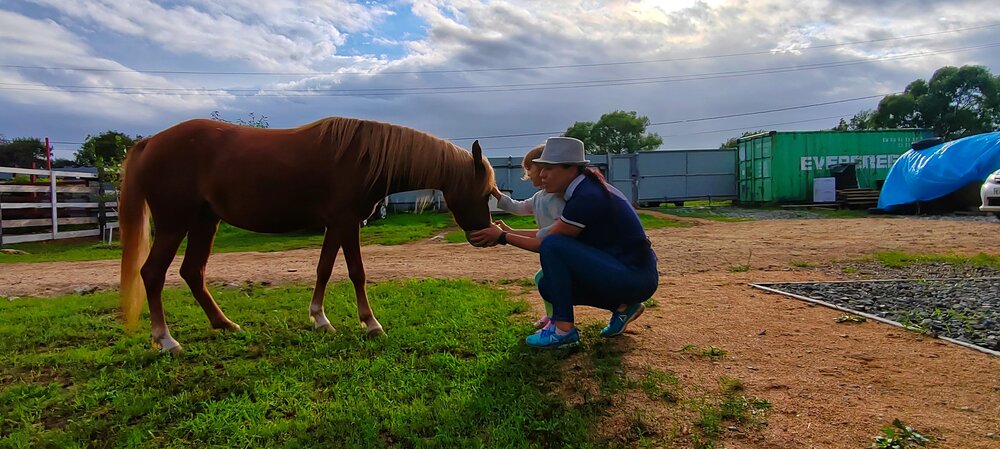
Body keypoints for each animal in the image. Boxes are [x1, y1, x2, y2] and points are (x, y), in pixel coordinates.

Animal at [118, 117, 496, 353]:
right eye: (485, 191)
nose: (482, 234)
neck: (364, 156)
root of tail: (150, 142)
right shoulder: (346, 222)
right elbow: (357, 273)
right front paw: (370, 323)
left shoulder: (336, 224)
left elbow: (324, 270)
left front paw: (320, 319)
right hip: (173, 224)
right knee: (153, 274)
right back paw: (166, 341)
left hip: (204, 222)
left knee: (192, 272)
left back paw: (225, 324)